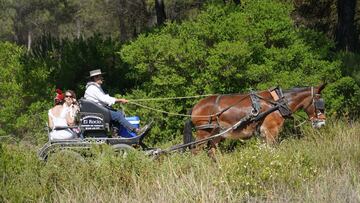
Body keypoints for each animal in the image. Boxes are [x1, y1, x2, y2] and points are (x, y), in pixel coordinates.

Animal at [183, 83, 326, 158]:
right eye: (320, 102)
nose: (323, 122)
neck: (278, 103)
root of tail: (195, 106)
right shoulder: (271, 131)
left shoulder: (262, 134)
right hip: (204, 133)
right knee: (195, 151)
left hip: (216, 134)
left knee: (212, 152)